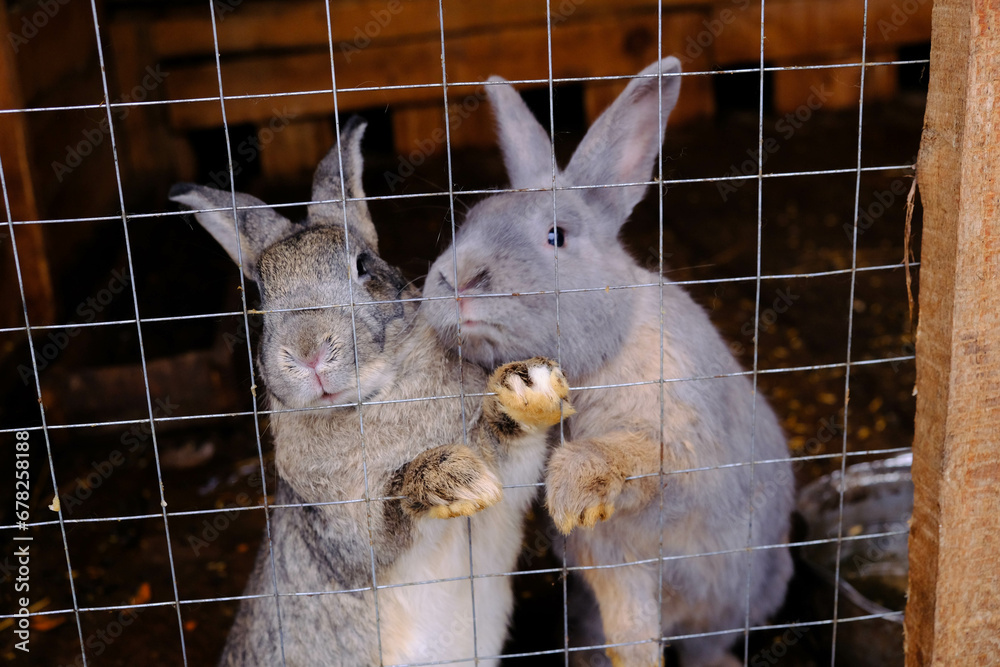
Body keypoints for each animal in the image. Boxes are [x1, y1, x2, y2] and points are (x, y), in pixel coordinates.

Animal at [169, 117, 574, 667]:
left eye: (362, 266)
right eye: (261, 296)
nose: (309, 352)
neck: (372, 399)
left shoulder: (506, 489)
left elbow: (508, 449)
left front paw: (527, 387)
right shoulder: (349, 541)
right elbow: (393, 510)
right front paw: (452, 478)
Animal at [422, 58, 794, 667]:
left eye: (556, 236)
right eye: (470, 220)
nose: (457, 279)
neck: (595, 361)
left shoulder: (676, 438)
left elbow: (631, 453)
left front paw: (571, 493)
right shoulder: (614, 568)